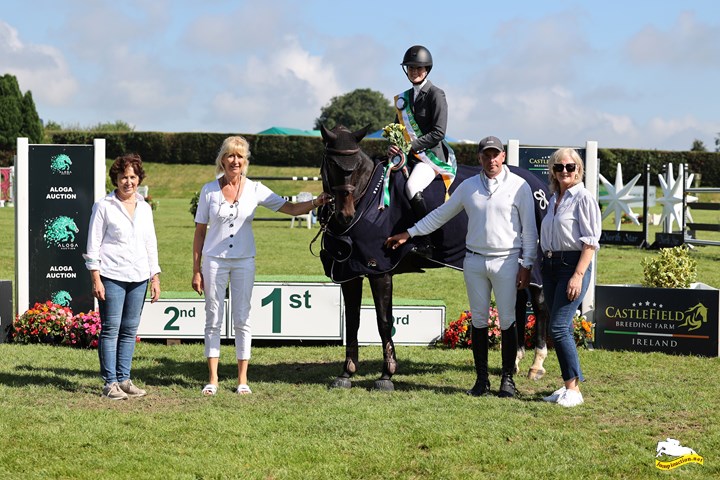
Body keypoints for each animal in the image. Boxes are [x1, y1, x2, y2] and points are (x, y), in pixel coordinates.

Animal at [318, 124, 548, 390]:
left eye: (355, 165)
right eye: (332, 163)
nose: (345, 214)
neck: (369, 198)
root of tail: (538, 185)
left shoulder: (379, 270)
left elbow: (384, 321)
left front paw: (387, 375)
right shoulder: (351, 272)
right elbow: (352, 321)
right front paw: (346, 373)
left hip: (533, 262)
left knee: (539, 304)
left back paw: (536, 364)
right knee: (518, 302)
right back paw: (517, 359)